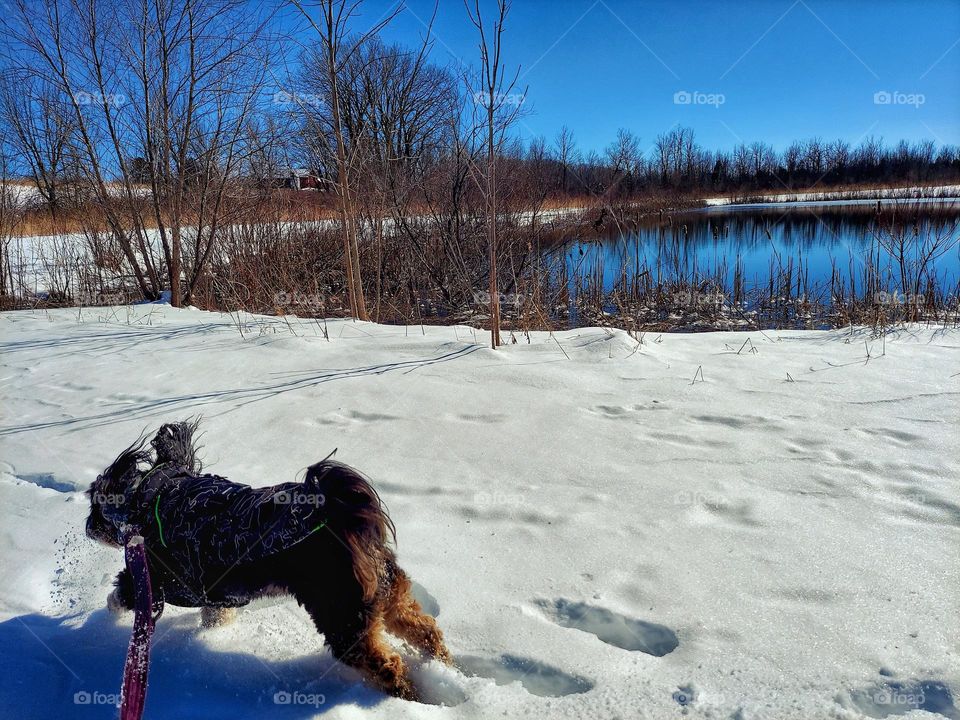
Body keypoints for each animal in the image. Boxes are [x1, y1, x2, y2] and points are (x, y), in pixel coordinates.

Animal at [84, 420, 452, 700]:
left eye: (93, 503)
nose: (87, 528)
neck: (154, 495)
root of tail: (342, 519)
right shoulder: (217, 593)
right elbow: (216, 616)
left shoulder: (161, 582)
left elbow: (122, 595)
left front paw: (102, 618)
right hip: (390, 598)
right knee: (426, 631)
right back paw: (445, 670)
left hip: (344, 621)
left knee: (387, 665)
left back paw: (409, 697)